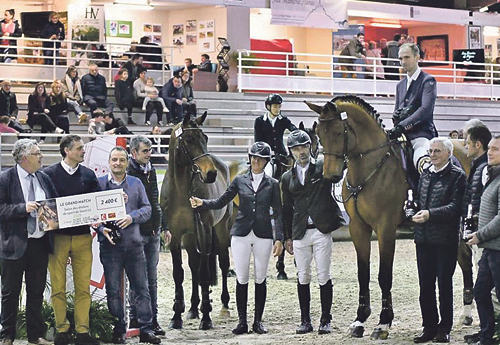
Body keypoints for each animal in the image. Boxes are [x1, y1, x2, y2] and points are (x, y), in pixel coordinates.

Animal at [159, 111, 231, 330]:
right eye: (189, 139)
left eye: (205, 138)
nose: (211, 173)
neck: (182, 191)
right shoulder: (175, 236)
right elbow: (179, 273)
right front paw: (176, 316)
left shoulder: (205, 230)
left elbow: (204, 272)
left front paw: (206, 317)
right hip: (190, 237)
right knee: (193, 265)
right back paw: (192, 308)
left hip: (221, 230)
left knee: (223, 264)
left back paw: (224, 306)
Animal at [306, 94, 474, 338]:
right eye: (318, 133)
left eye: (338, 132)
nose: (331, 175)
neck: (369, 169)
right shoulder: (358, 228)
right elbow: (363, 273)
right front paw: (360, 320)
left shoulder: (385, 228)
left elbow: (384, 274)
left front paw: (383, 323)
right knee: (464, 258)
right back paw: (466, 314)